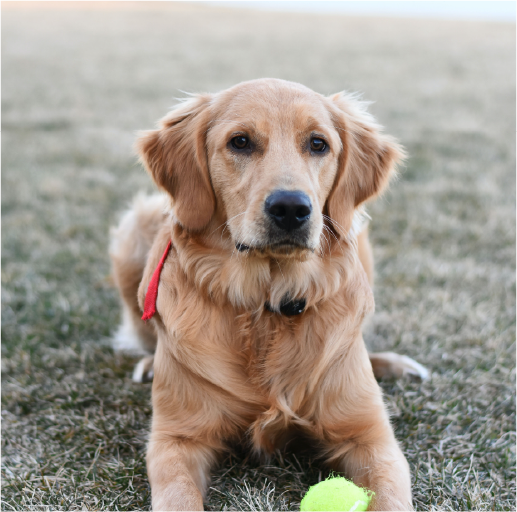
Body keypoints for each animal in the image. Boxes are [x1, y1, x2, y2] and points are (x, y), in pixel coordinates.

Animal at [108, 77, 424, 512]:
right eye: (240, 142)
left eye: (318, 144)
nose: (290, 207)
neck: (267, 305)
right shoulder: (177, 438)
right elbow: (178, 496)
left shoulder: (370, 437)